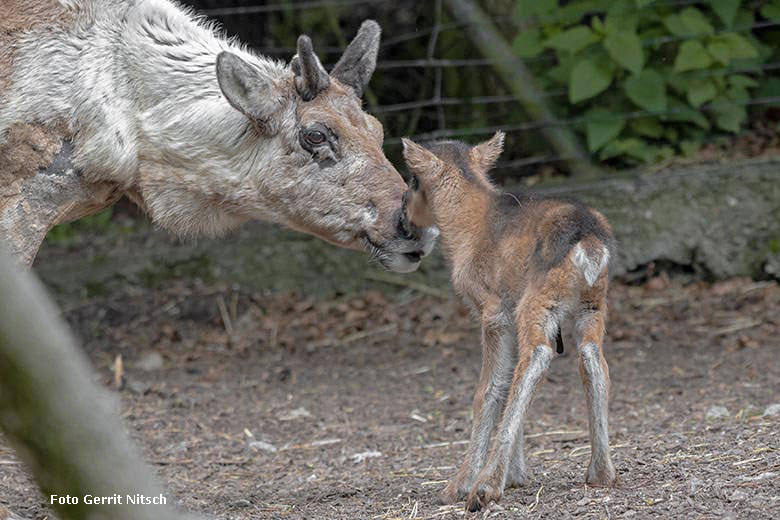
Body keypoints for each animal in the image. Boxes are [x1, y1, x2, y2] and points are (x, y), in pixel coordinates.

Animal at [402, 134, 616, 512]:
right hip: (592, 304)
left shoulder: (492, 309)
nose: (404, 215)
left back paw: (484, 486)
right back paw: (601, 471)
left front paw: (461, 484)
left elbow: (488, 388)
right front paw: (517, 474)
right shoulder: (510, 306)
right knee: (593, 358)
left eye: (413, 180)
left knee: (538, 356)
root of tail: (590, 243)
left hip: (539, 301)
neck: (467, 227)